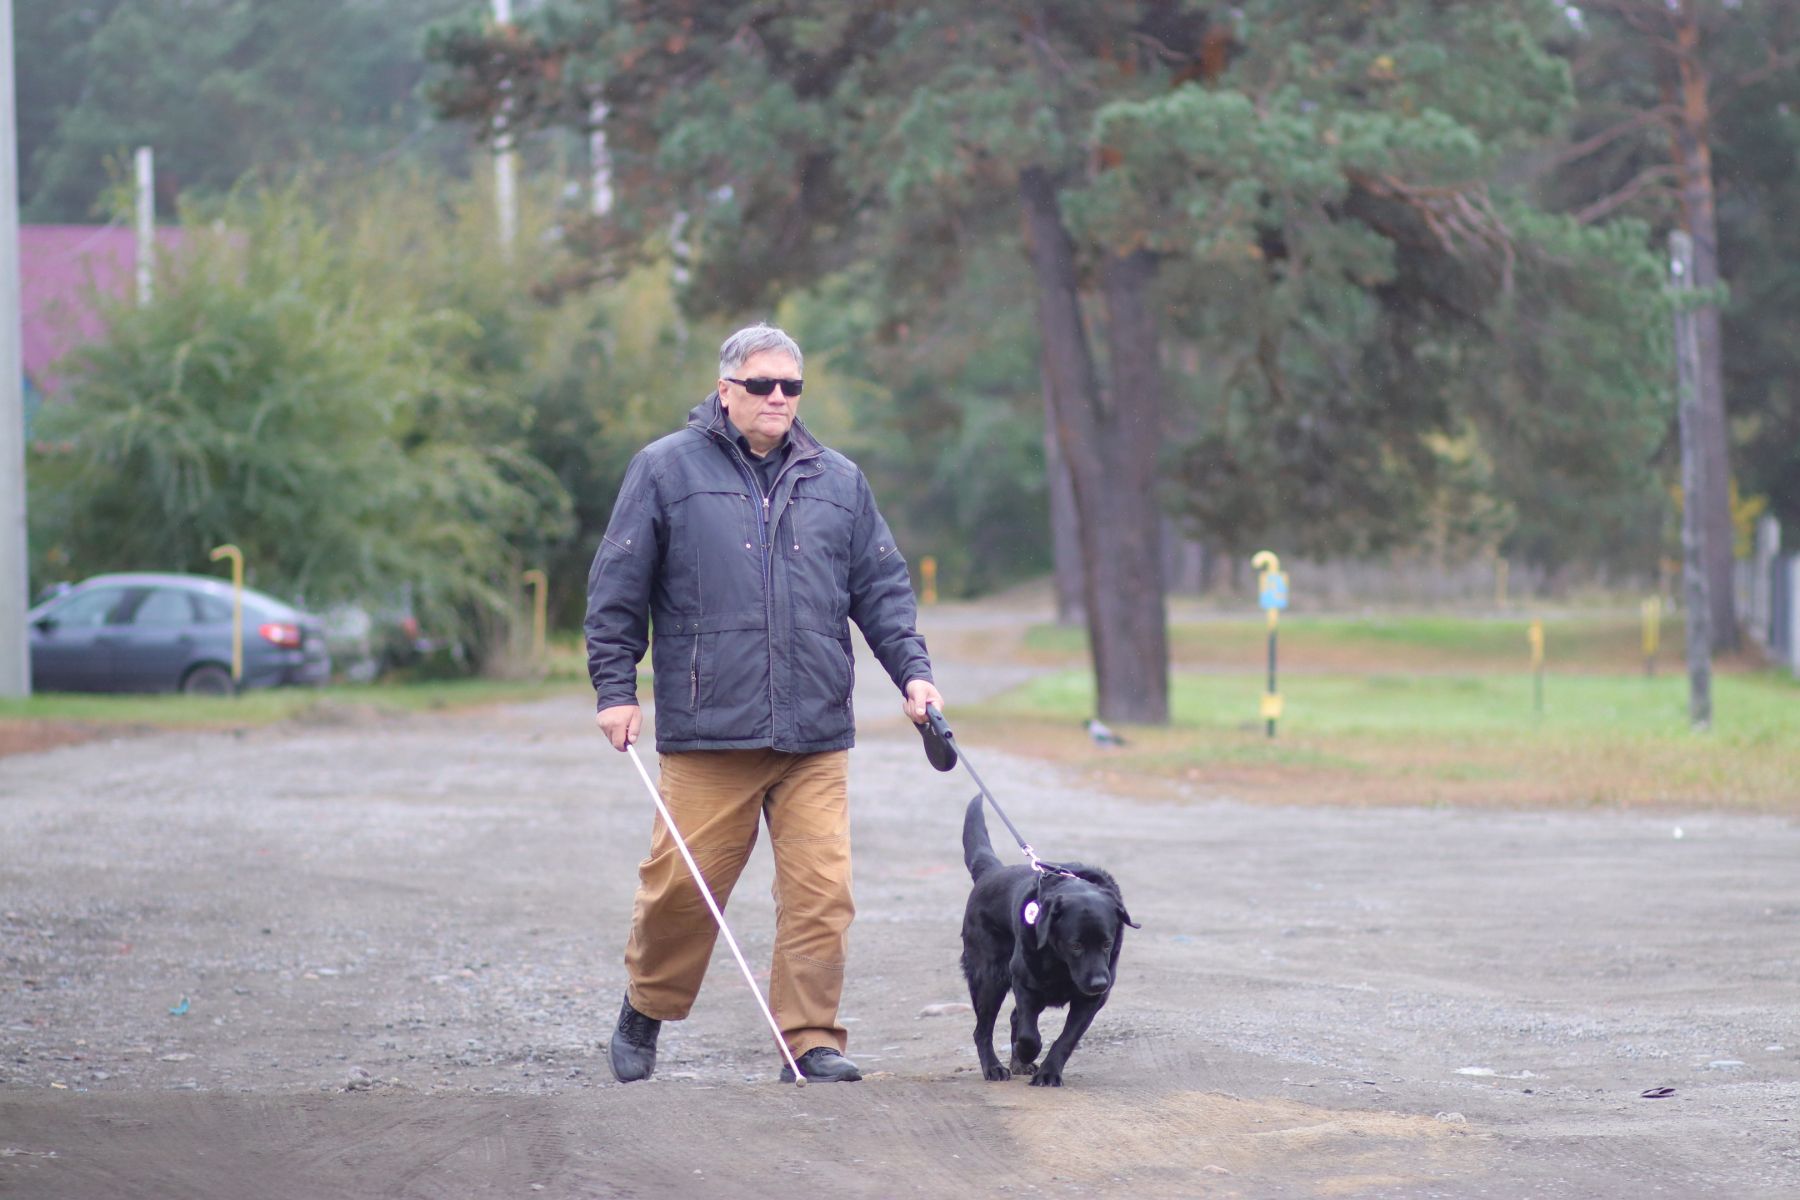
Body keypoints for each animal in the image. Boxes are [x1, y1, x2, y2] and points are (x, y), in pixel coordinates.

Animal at [957, 798, 1137, 1086]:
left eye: (1107, 944)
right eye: (1075, 945)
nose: (1099, 983)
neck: (1061, 964)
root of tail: (991, 872)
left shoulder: (1091, 1001)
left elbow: (1067, 1039)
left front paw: (1049, 1072)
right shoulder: (1024, 983)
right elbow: (1029, 1035)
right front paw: (1026, 1052)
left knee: (1013, 1018)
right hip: (989, 978)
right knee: (983, 1030)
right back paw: (994, 1067)